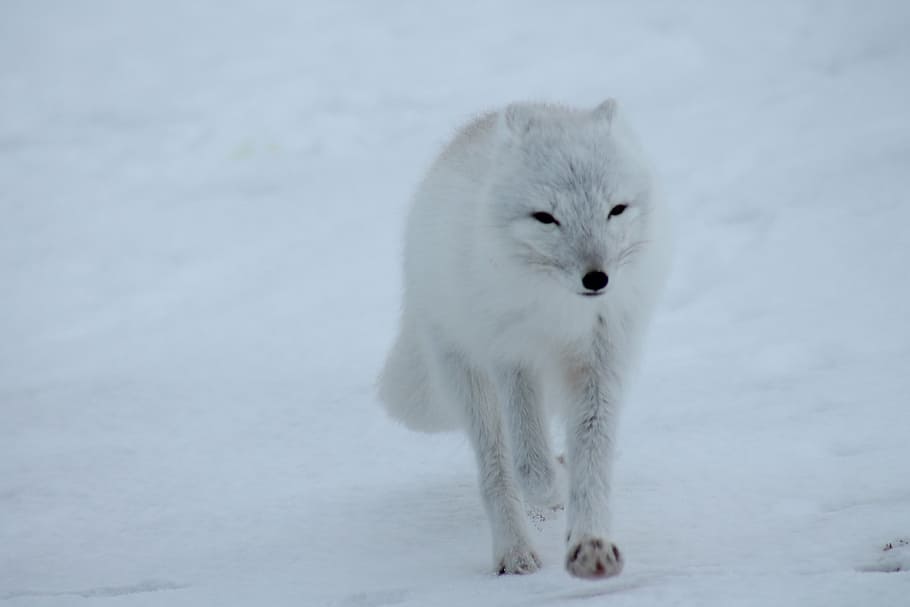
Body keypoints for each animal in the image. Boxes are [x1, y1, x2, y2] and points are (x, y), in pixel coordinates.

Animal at [378, 100, 668, 580]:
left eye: (616, 209)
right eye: (545, 217)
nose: (597, 278)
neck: (561, 312)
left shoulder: (599, 361)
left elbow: (593, 456)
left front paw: (591, 546)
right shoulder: (512, 359)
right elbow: (531, 468)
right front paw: (556, 489)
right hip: (470, 381)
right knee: (499, 469)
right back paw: (514, 554)